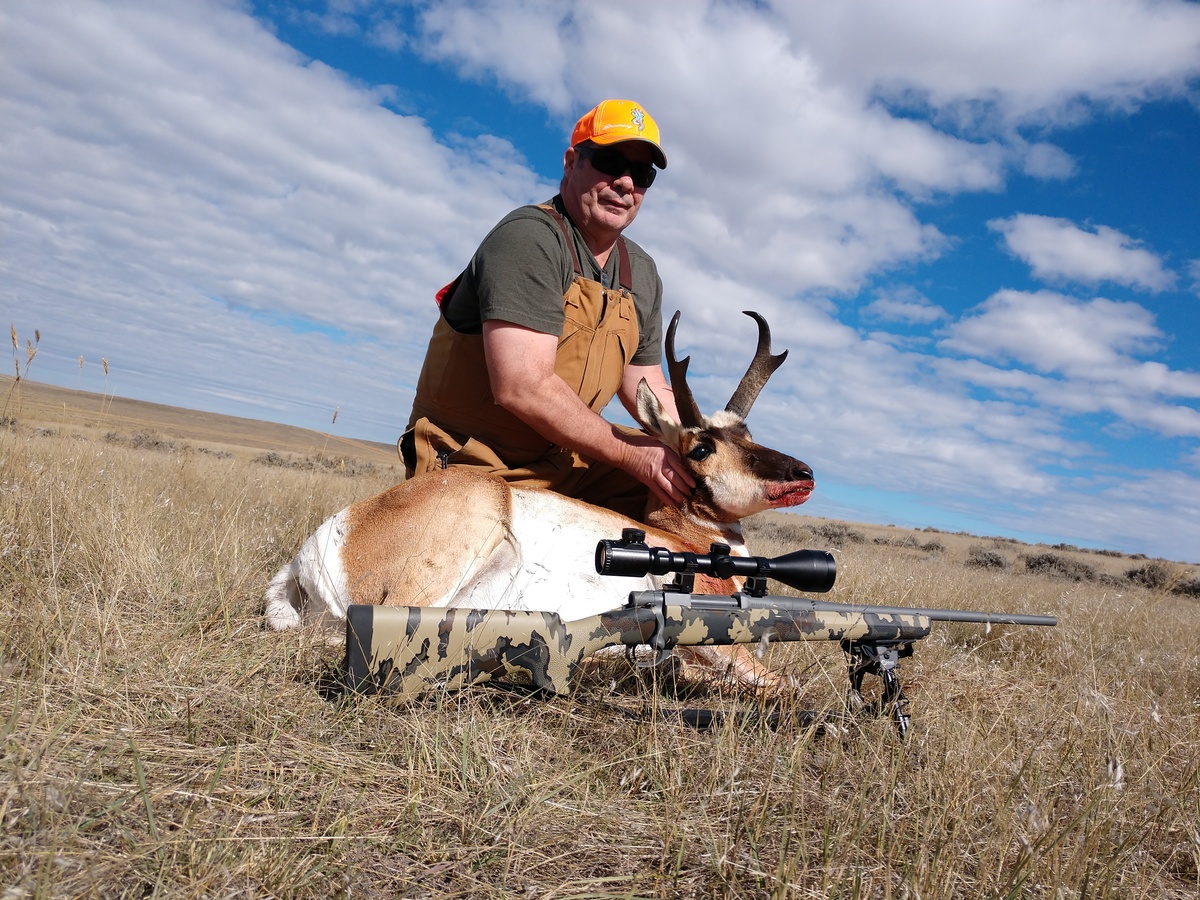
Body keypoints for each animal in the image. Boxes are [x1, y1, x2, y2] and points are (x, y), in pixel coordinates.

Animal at [264, 311, 815, 689]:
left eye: (747, 433)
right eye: (701, 447)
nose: (804, 472)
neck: (684, 543)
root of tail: (315, 548)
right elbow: (779, 680)